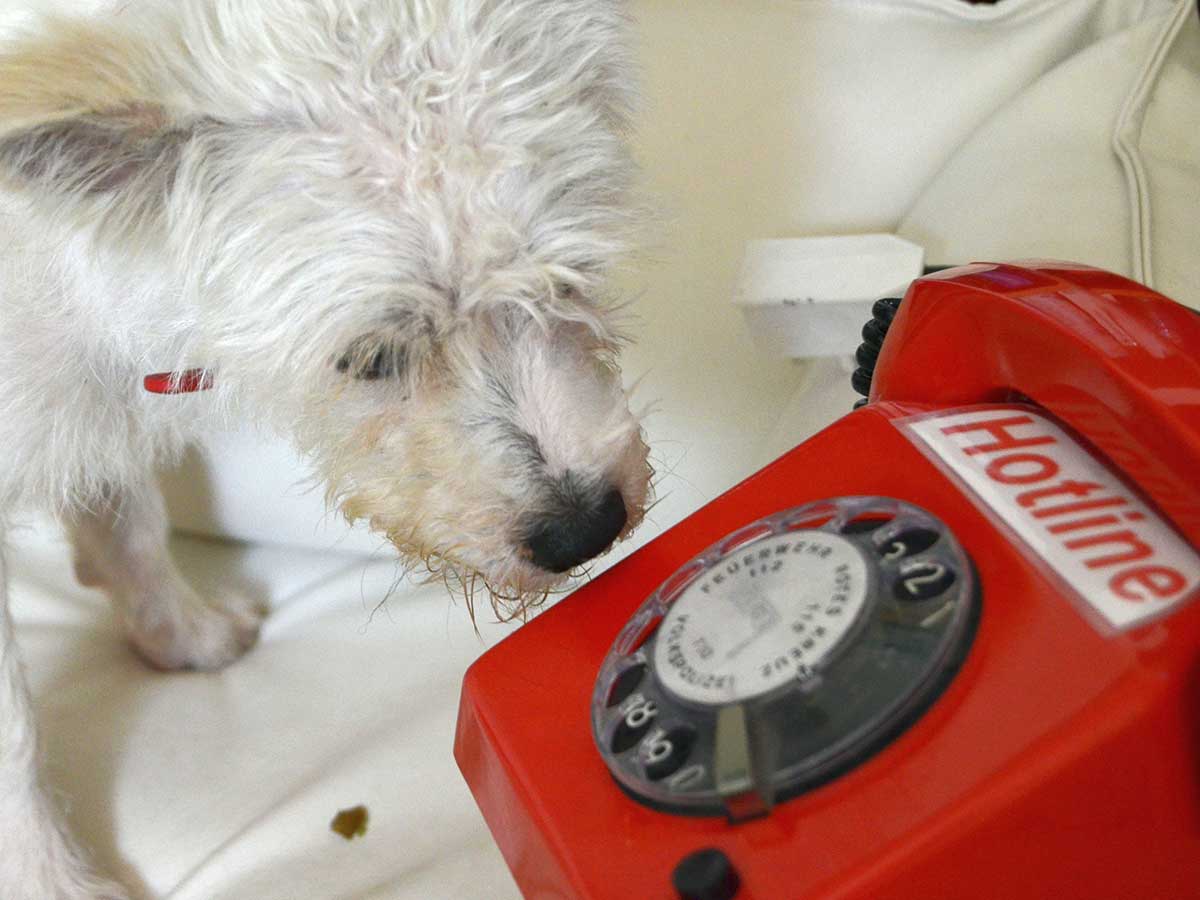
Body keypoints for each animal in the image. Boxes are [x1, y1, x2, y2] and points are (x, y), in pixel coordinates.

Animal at [0, 3, 648, 897]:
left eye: (568, 276)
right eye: (371, 357)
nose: (585, 530)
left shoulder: (95, 397)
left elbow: (129, 524)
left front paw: (182, 634)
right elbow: (14, 730)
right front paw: (49, 878)